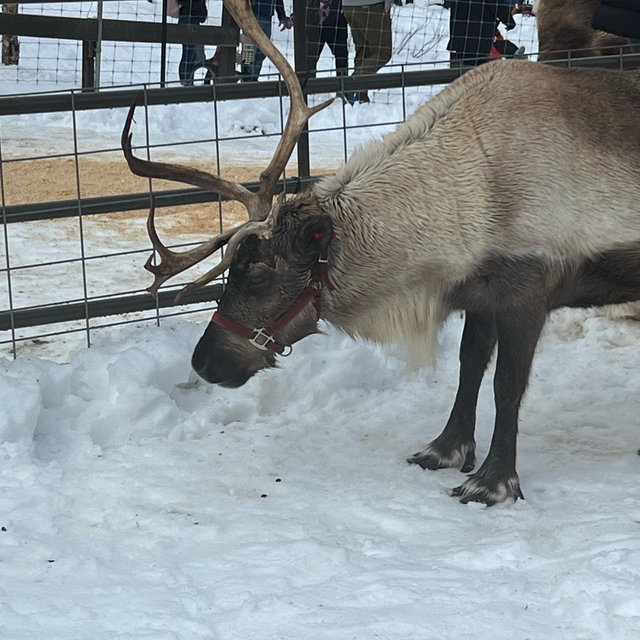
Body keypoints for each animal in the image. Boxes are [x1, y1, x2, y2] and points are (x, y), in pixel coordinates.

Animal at [122, 0, 640, 506]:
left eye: (258, 274)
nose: (203, 362)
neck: (470, 194)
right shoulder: (481, 290)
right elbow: (469, 366)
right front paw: (445, 449)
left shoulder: (526, 290)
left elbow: (507, 386)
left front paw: (493, 482)